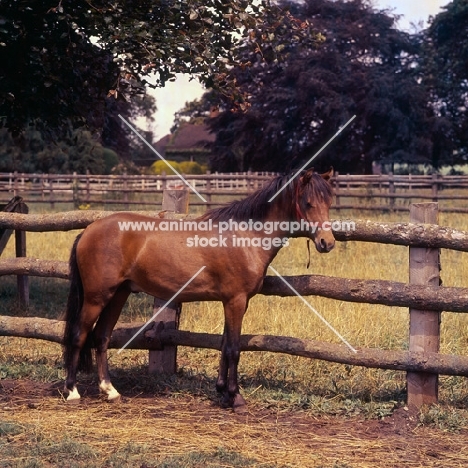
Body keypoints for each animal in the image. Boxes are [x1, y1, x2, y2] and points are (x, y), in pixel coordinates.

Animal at [63, 168, 336, 410]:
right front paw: (235, 398)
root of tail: (88, 231)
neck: (245, 236)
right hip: (97, 297)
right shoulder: (236, 301)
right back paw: (72, 392)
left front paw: (223, 392)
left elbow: (224, 346)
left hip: (118, 295)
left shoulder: (233, 302)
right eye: (308, 203)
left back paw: (110, 391)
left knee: (102, 337)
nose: (327, 243)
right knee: (79, 334)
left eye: (329, 203)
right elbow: (234, 349)